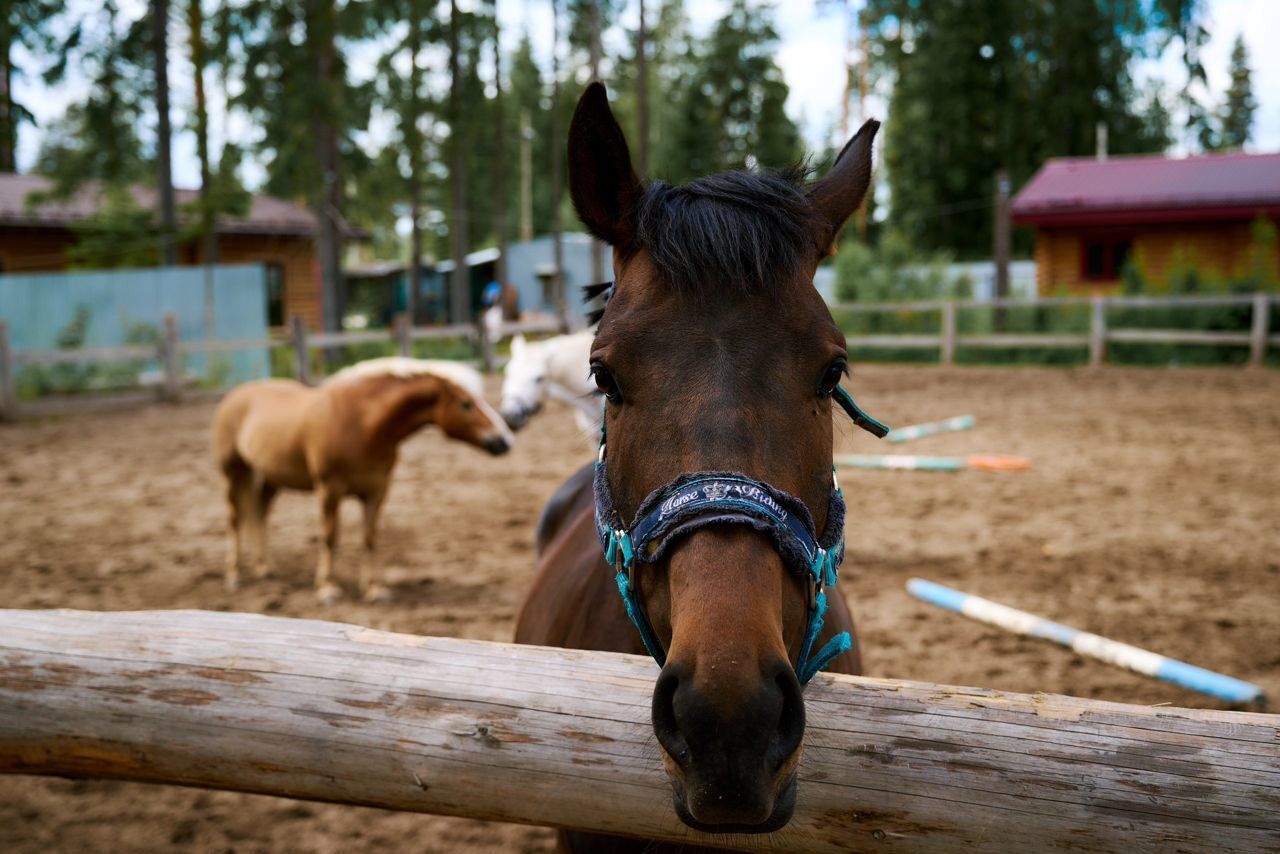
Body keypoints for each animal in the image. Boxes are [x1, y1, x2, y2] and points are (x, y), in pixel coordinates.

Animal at [212, 358, 512, 604]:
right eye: (466, 404)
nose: (504, 440)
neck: (363, 425)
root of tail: (235, 395)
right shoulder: (329, 490)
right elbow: (330, 536)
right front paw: (327, 588)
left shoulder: (376, 492)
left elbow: (370, 538)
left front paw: (374, 590)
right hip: (233, 472)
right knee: (234, 518)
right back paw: (234, 575)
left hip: (271, 477)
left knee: (259, 512)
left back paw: (265, 568)